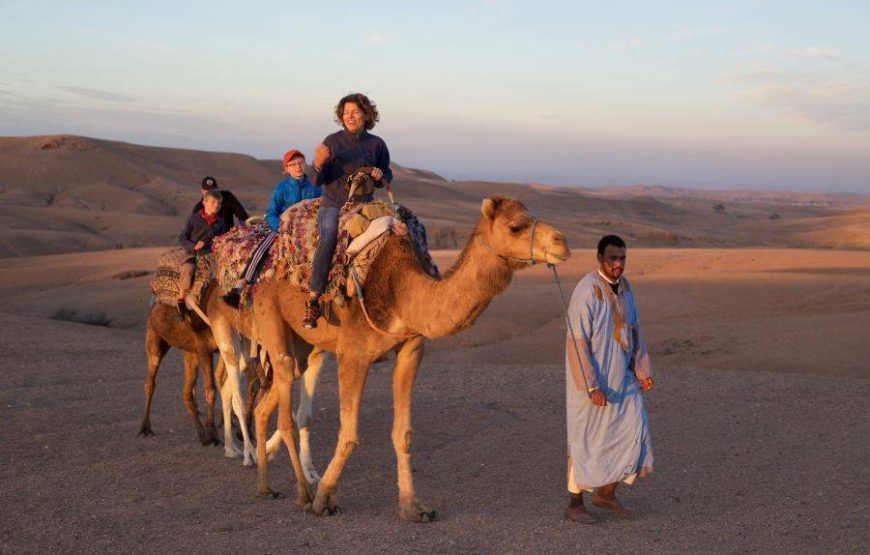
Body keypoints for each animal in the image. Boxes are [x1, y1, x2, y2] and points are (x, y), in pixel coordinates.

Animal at [249, 195, 572, 520]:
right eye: (515, 226)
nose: (562, 242)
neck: (401, 294)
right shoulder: (352, 355)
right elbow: (349, 435)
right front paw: (324, 498)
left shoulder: (411, 351)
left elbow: (402, 433)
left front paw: (413, 506)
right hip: (270, 312)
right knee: (284, 402)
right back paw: (304, 493)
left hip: (305, 344)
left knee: (266, 404)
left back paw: (265, 486)